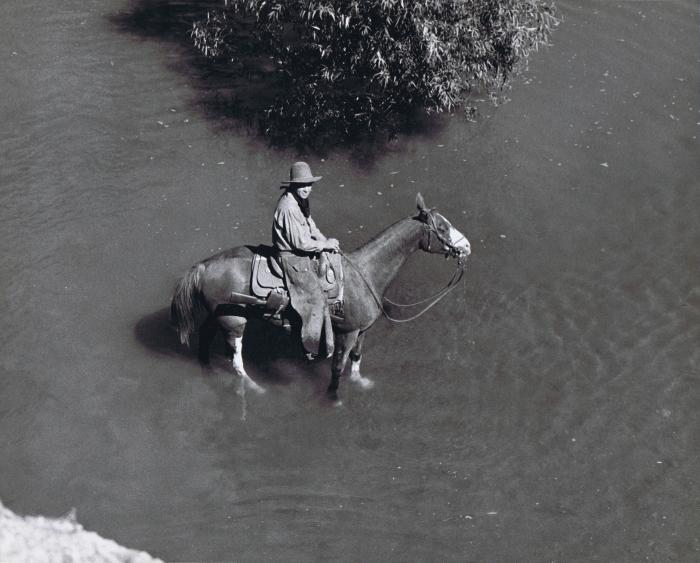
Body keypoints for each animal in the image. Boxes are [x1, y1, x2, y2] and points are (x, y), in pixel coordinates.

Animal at [171, 194, 470, 400]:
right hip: (234, 322)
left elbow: (356, 358)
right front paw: (334, 398)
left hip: (219, 317)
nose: (466, 246)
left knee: (206, 339)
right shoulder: (347, 333)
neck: (366, 273)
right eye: (442, 228)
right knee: (236, 362)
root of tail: (203, 266)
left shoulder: (361, 331)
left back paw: (207, 369)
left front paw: (360, 383)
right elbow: (337, 366)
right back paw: (256, 389)